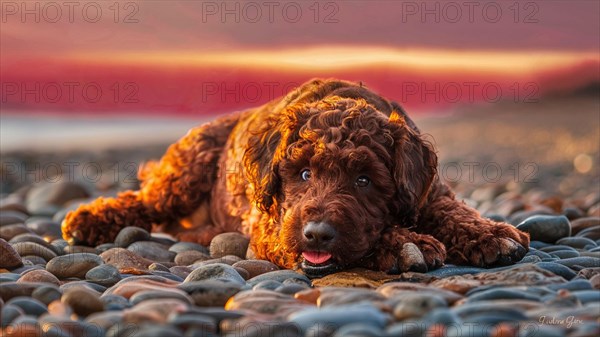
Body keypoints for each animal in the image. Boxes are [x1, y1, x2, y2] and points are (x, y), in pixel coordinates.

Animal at [63, 78, 528, 276]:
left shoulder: (428, 192)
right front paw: (404, 243)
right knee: (148, 200)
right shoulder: (272, 224)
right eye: (303, 173)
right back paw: (88, 218)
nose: (317, 234)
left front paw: (490, 233)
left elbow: (453, 209)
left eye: (364, 180)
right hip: (187, 167)